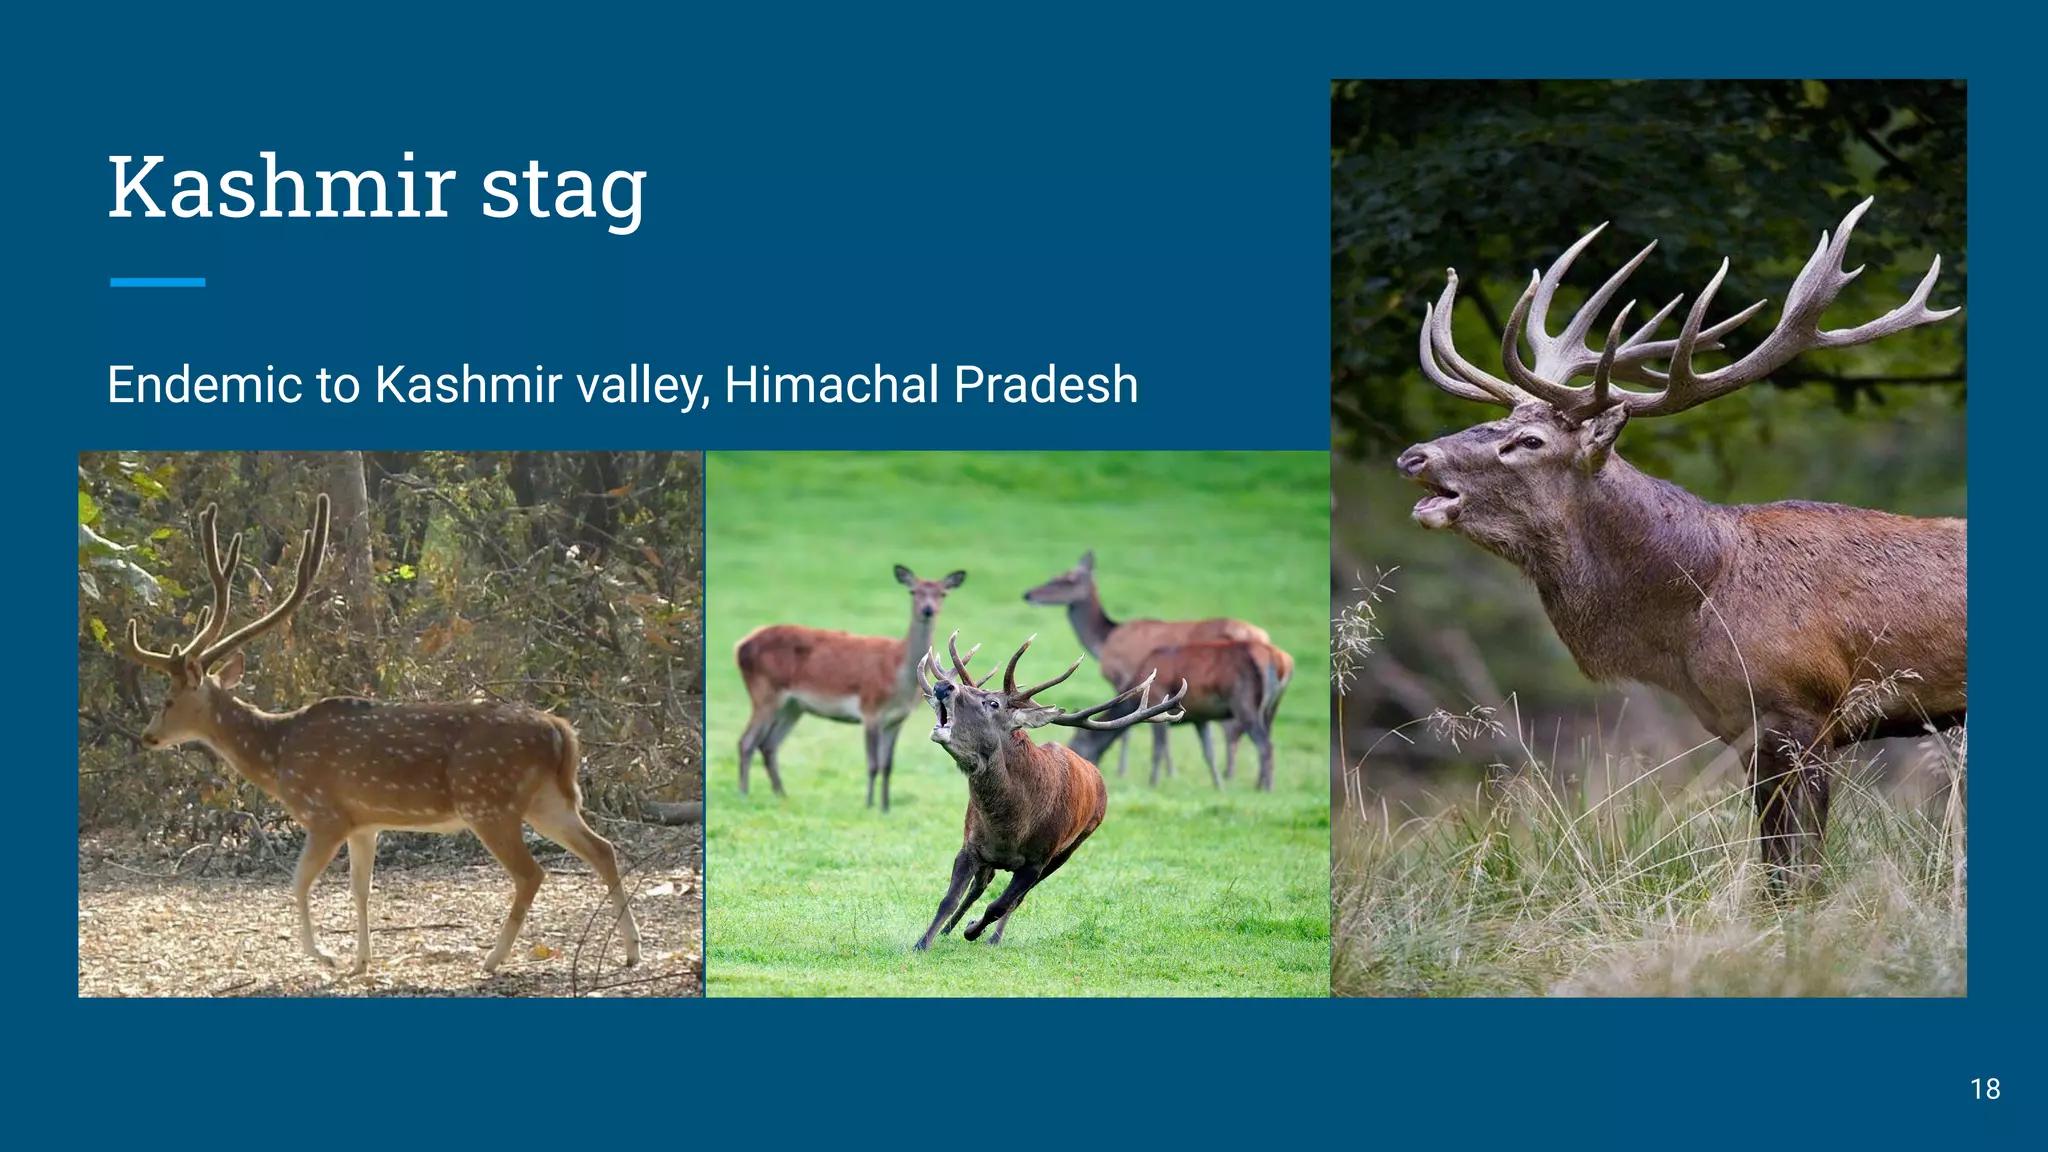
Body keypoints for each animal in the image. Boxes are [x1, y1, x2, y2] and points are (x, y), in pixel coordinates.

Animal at [118, 494, 641, 975]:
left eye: (168, 700)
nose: (147, 736)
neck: (277, 753)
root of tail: (560, 732)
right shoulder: (363, 822)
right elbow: (360, 888)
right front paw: (360, 961)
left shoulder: (324, 813)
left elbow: (298, 883)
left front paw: (326, 956)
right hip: (547, 800)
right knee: (604, 848)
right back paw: (632, 951)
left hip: (489, 802)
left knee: (532, 873)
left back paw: (492, 960)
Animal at [734, 565, 966, 811]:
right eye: (913, 591)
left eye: (943, 594)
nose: (928, 610)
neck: (899, 676)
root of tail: (740, 646)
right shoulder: (870, 709)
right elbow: (873, 763)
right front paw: (869, 804)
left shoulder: (897, 719)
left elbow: (888, 766)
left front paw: (885, 807)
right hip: (764, 691)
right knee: (747, 741)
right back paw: (744, 792)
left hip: (793, 706)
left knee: (769, 744)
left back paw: (781, 794)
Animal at [912, 633, 1186, 950]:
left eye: (992, 703)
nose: (943, 685)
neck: (1010, 826)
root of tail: (1098, 778)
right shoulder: (971, 846)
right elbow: (949, 899)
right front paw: (923, 943)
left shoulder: (1037, 860)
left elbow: (1000, 905)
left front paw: (973, 931)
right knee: (981, 886)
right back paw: (950, 930)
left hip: (1070, 848)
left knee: (1014, 900)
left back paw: (992, 937)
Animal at [1070, 639, 1285, 790]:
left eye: (1077, 744)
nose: (1084, 770)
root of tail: (1276, 661)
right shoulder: (1200, 718)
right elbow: (1209, 752)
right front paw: (1218, 785)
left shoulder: (1158, 699)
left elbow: (1158, 748)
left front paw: (1153, 782)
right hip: (1271, 709)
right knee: (1268, 740)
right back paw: (1260, 784)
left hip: (1244, 703)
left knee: (1264, 744)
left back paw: (1268, 787)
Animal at [1396, 196, 1965, 889]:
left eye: (1528, 441)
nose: (1414, 455)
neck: (1692, 610)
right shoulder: (1745, 732)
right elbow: (1775, 863)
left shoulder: (1805, 712)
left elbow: (1798, 870)